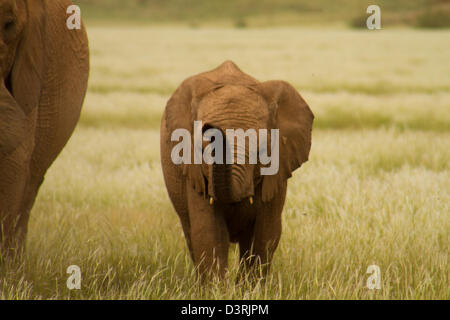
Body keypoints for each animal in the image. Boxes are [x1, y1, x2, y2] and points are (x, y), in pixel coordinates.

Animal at [161, 61, 312, 278]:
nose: (208, 127)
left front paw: (249, 286)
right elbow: (208, 233)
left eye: (261, 150)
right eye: (203, 148)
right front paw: (216, 287)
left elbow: (266, 234)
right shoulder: (194, 172)